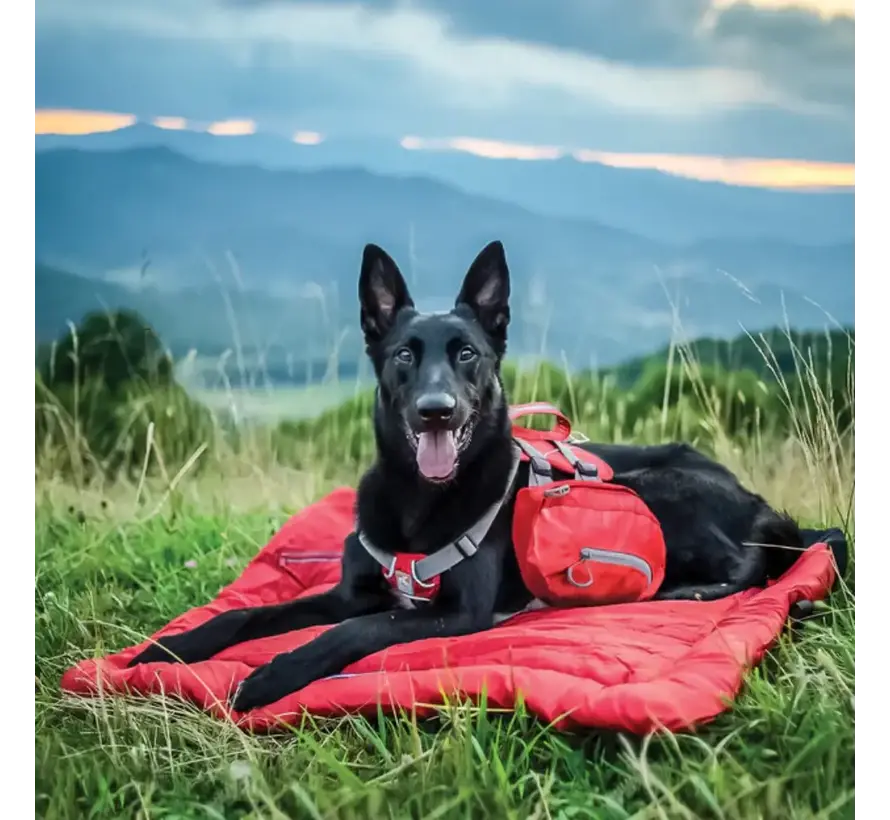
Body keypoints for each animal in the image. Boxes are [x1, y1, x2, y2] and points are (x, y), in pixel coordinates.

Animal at [130, 242, 804, 712]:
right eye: (405, 354)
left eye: (467, 354)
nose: (437, 410)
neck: (418, 499)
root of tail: (758, 502)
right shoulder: (352, 589)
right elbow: (244, 617)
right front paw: (165, 648)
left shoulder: (457, 613)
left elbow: (354, 629)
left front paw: (271, 674)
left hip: (653, 488)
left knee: (752, 565)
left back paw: (690, 592)